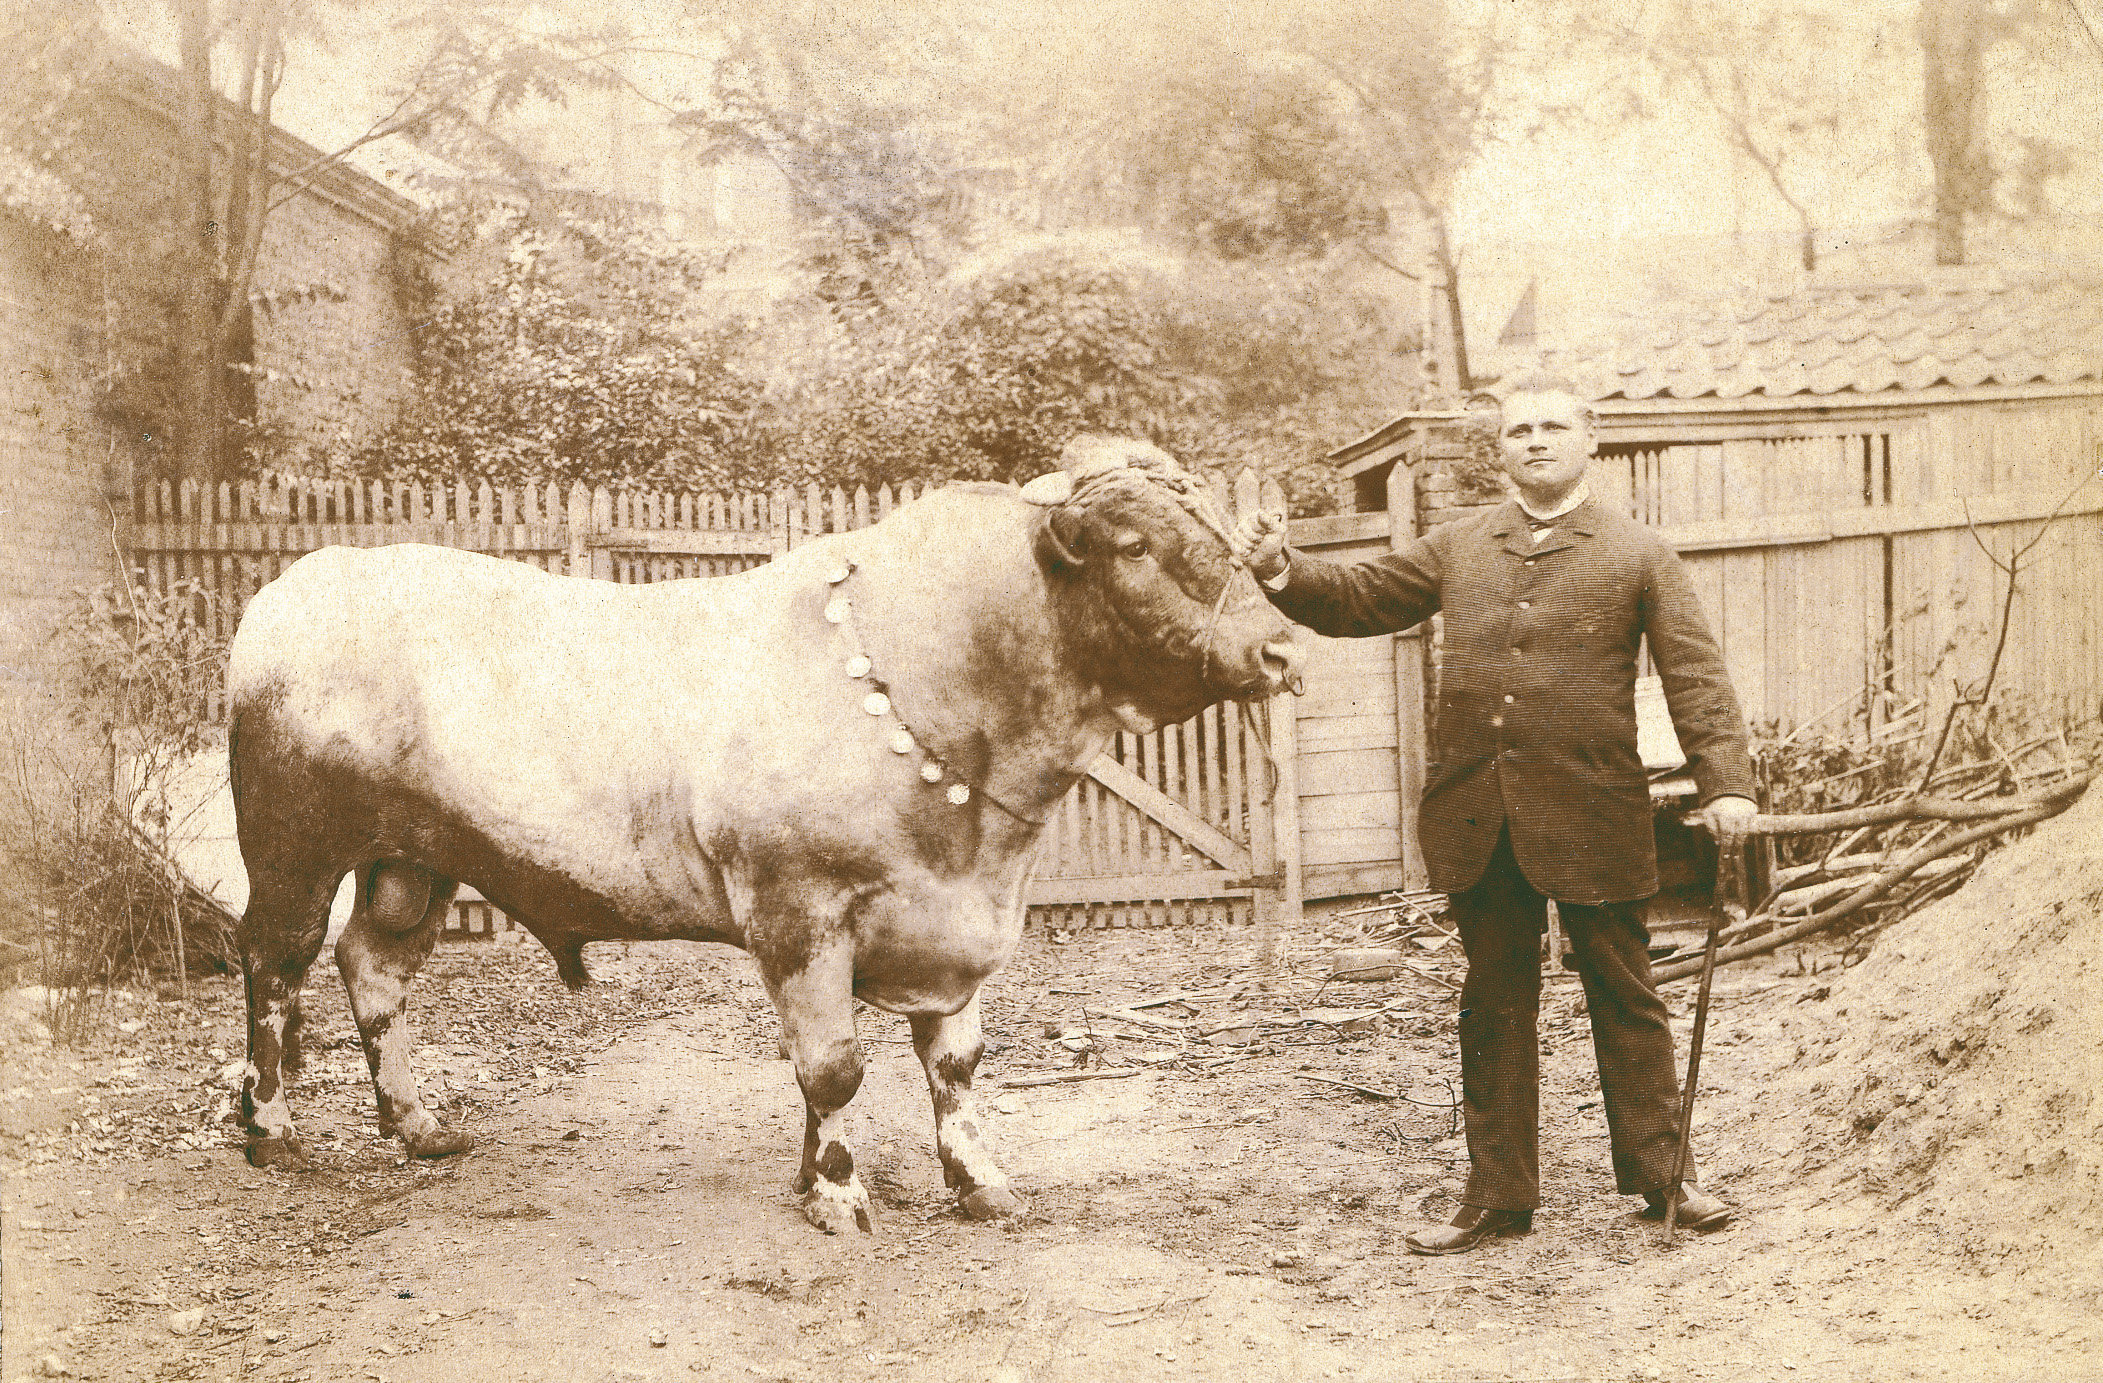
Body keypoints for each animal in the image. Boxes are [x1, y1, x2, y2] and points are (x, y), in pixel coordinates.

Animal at [226, 441, 1295, 1227]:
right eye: (1134, 546)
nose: (1278, 646)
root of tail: (300, 584)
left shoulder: (959, 920)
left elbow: (951, 1063)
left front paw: (974, 1179)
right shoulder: (798, 907)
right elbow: (833, 1064)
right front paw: (836, 1191)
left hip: (415, 859)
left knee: (373, 965)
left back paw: (417, 1124)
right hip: (294, 847)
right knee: (276, 962)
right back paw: (270, 1127)